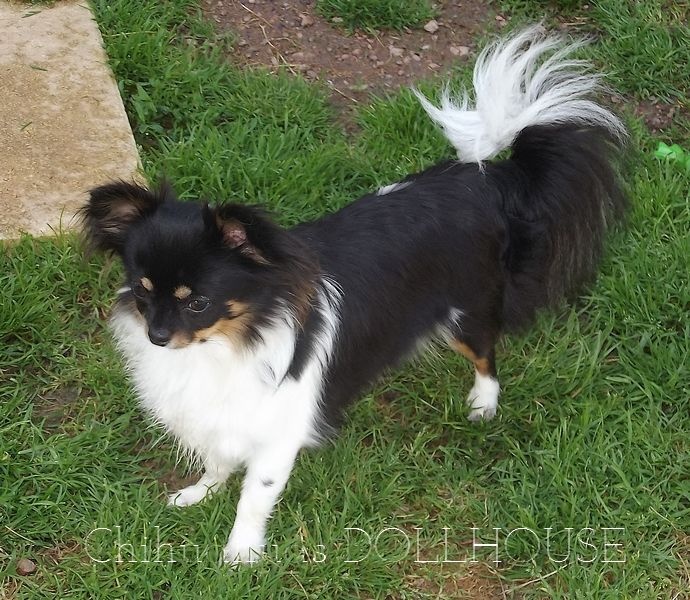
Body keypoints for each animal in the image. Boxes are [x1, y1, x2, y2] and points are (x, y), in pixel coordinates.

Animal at [82, 26, 626, 564]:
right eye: (143, 293)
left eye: (198, 303)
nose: (156, 336)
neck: (222, 343)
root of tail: (484, 178)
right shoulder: (218, 415)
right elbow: (216, 461)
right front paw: (199, 493)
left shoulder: (278, 432)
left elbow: (254, 497)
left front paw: (240, 555)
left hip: (465, 313)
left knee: (487, 354)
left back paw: (482, 404)